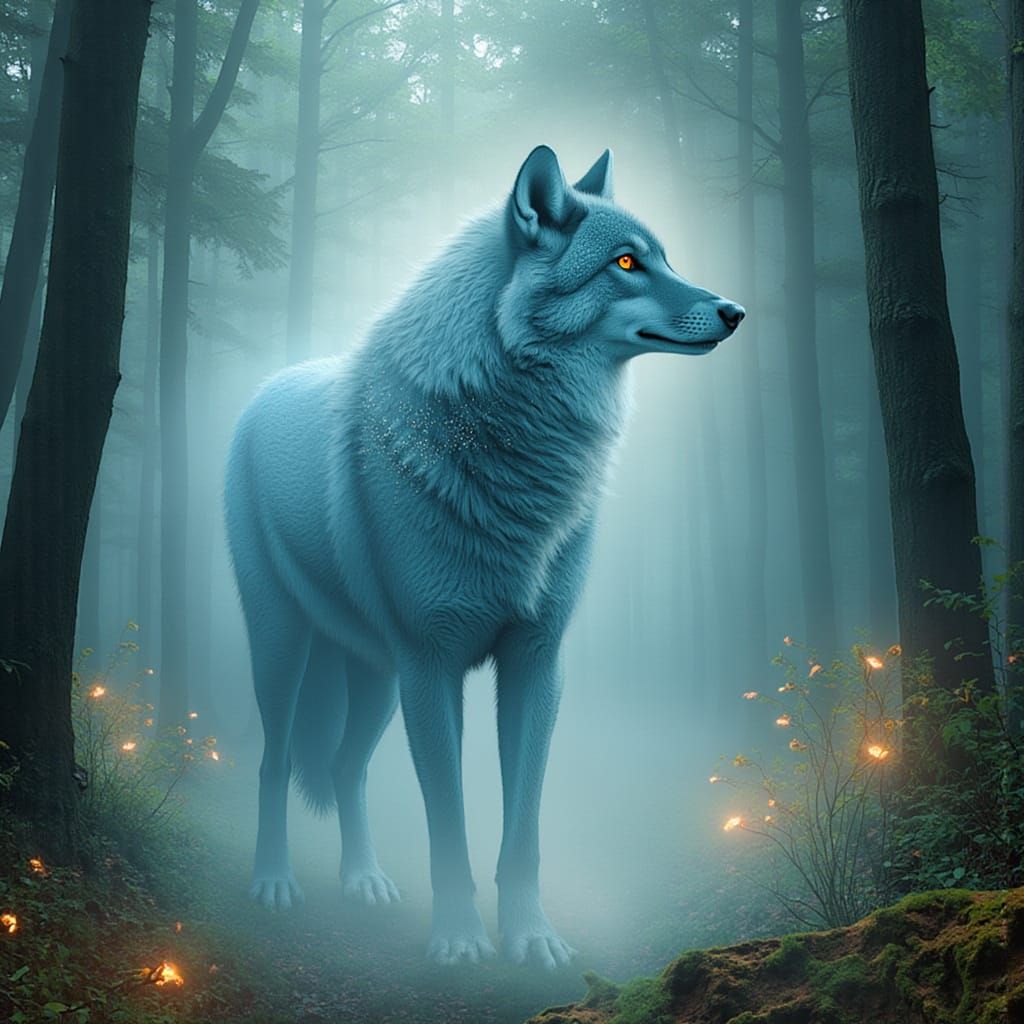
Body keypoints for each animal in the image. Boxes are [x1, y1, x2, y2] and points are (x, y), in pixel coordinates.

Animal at [225, 145, 744, 969]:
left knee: (344, 767)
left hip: (376, 679)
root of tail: (266, 388)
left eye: (664, 257)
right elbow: (449, 823)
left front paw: (532, 938)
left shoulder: (535, 661)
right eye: (626, 263)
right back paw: (274, 881)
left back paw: (364, 880)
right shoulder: (432, 667)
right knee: (275, 762)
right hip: (286, 647)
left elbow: (522, 827)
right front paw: (461, 939)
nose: (734, 311)